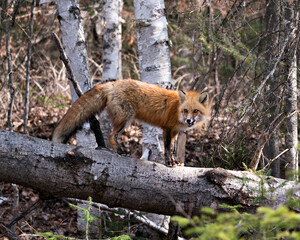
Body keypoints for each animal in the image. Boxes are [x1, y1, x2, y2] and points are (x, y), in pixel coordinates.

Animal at [52, 79, 211, 166]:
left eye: (195, 111)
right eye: (186, 110)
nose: (189, 120)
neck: (177, 111)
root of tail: (114, 83)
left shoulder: (175, 132)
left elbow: (172, 149)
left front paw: (175, 162)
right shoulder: (167, 129)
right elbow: (167, 150)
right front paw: (169, 163)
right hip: (125, 119)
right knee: (111, 135)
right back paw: (119, 151)